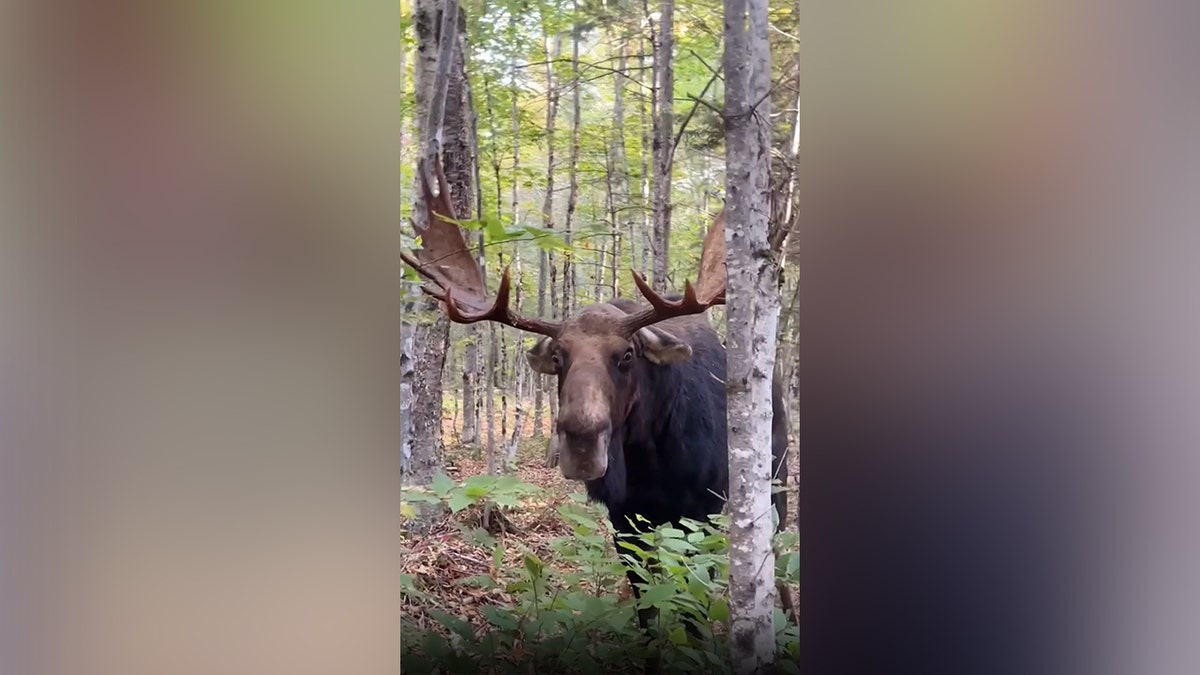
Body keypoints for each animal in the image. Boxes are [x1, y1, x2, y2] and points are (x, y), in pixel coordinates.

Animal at [403, 162, 792, 658]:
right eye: (558, 357)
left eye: (626, 355)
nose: (582, 442)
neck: (651, 459)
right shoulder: (624, 519)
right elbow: (647, 605)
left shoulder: (701, 512)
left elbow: (693, 606)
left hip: (775, 482)